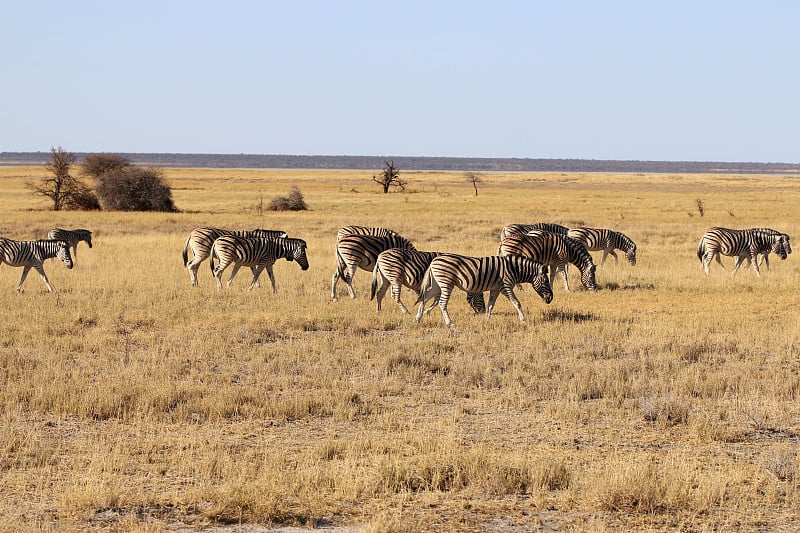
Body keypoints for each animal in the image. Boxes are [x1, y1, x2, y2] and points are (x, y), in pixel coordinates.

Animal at [410, 254, 552, 328]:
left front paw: (486, 320)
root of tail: (434, 261)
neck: (514, 268)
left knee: (424, 298)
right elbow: (517, 302)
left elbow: (490, 305)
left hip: (436, 285)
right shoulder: (505, 286)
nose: (551, 298)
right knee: (442, 303)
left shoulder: (495, 289)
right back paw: (450, 323)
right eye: (546, 281)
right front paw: (523, 319)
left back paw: (417, 319)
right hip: (446, 283)